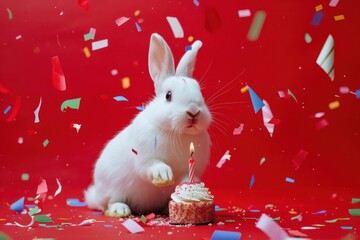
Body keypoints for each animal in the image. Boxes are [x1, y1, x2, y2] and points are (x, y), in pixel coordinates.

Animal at [85, 32, 211, 217]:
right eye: (168, 96)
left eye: (200, 93)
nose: (193, 111)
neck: (177, 133)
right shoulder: (145, 159)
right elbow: (153, 166)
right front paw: (164, 175)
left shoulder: (189, 166)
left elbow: (186, 178)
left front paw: (191, 182)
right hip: (112, 187)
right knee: (109, 203)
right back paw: (120, 210)